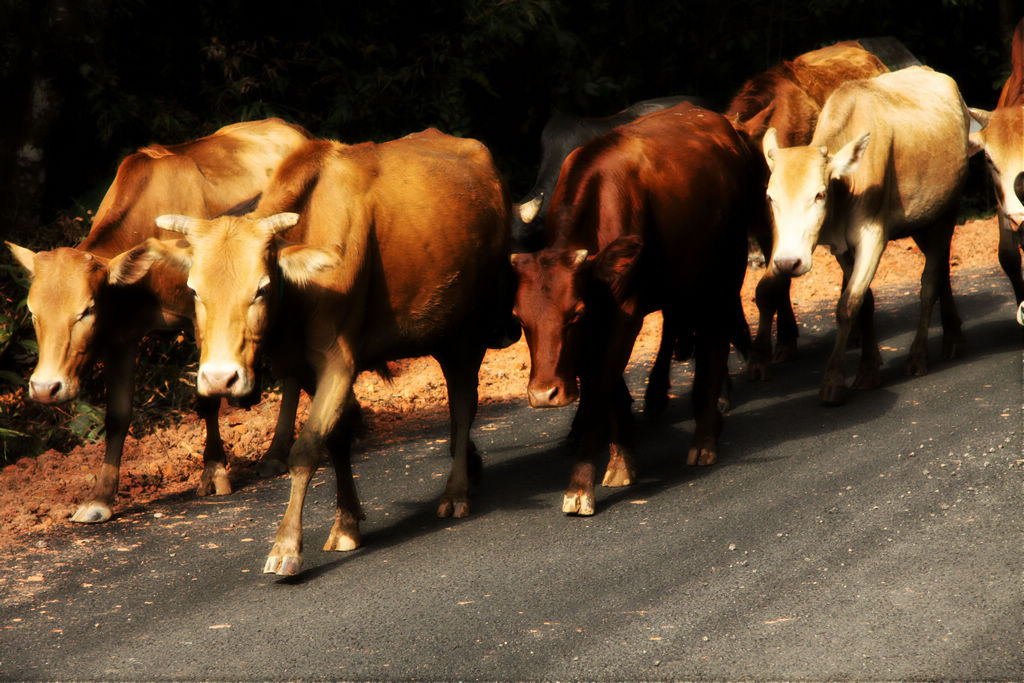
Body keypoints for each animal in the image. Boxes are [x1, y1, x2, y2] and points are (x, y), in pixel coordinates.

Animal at [6, 117, 309, 524]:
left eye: (85, 310)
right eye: (34, 312)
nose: (44, 388)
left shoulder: (200, 318)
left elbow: (206, 398)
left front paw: (214, 471)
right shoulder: (120, 337)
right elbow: (117, 416)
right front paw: (100, 498)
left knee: (292, 370)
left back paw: (276, 453)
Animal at [116, 129, 516, 577]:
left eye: (261, 288)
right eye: (194, 289)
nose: (220, 379)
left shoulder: (339, 362)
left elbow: (306, 448)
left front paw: (286, 546)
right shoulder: (305, 368)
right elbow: (337, 437)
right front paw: (346, 523)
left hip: (469, 333)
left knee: (464, 405)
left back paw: (457, 491)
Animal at [509, 102, 761, 511]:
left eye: (574, 314)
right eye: (520, 318)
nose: (544, 395)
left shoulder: (622, 315)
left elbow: (598, 390)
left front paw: (580, 485)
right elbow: (607, 389)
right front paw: (622, 461)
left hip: (726, 271)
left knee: (715, 337)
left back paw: (705, 437)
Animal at [765, 66, 970, 403]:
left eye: (819, 194)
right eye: (770, 197)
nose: (787, 263)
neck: (846, 185)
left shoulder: (873, 236)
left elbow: (848, 305)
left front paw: (834, 380)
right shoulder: (842, 248)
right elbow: (865, 302)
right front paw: (869, 370)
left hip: (947, 212)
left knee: (930, 281)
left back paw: (919, 355)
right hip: (923, 220)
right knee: (940, 272)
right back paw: (953, 337)